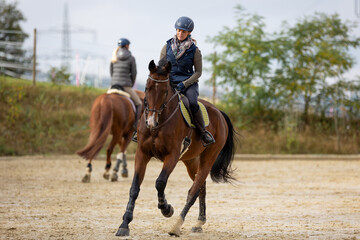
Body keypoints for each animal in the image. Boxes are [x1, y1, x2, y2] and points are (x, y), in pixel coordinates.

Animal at [115, 59, 236, 236]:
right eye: (147, 88)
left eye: (165, 91)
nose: (151, 121)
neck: (159, 124)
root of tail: (219, 112)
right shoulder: (142, 154)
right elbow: (134, 187)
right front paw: (124, 224)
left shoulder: (171, 156)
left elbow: (160, 182)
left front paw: (166, 209)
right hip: (191, 161)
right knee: (201, 187)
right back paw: (199, 222)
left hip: (208, 158)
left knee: (194, 191)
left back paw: (177, 225)